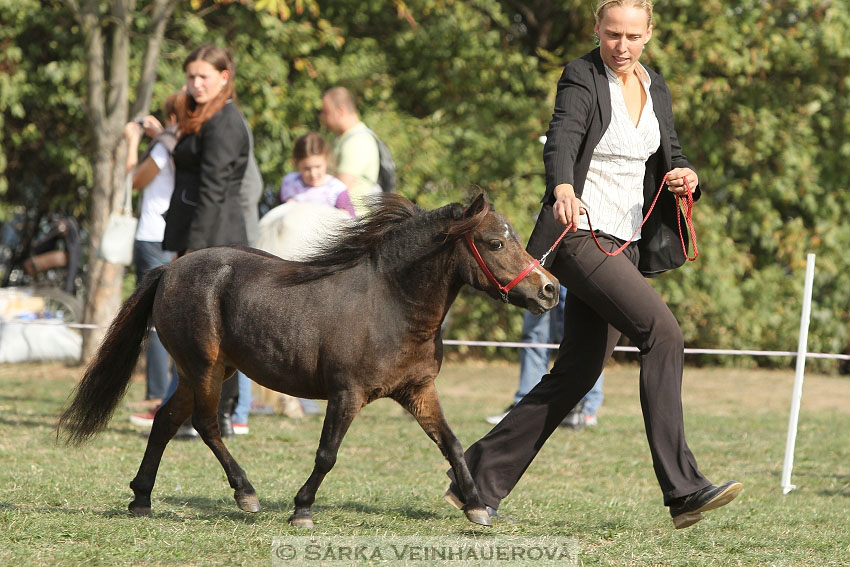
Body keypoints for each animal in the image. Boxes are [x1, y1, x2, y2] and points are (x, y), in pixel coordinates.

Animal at [58, 194, 556, 528]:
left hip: (204, 369)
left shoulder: (417, 391)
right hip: (204, 367)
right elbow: (327, 454)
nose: (549, 290)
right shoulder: (346, 393)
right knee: (205, 424)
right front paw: (301, 509)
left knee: (165, 420)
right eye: (495, 243)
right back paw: (246, 494)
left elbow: (450, 443)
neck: (392, 305)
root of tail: (169, 269)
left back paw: (141, 499)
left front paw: (476, 506)